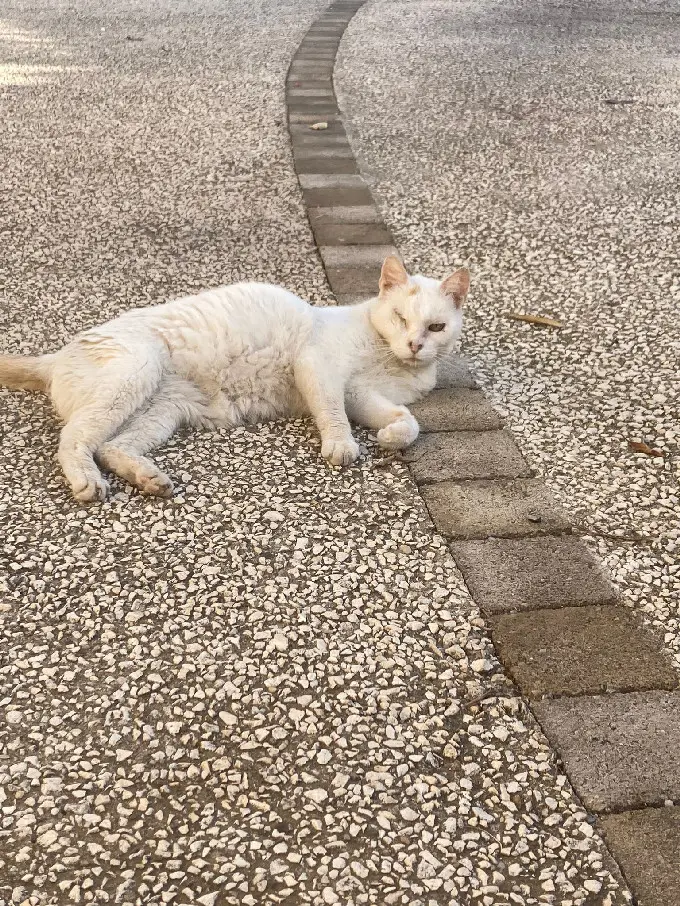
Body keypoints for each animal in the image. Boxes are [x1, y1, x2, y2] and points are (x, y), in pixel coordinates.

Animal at [0, 256, 468, 502]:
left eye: (436, 328)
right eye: (401, 318)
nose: (414, 344)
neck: (387, 356)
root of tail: (56, 356)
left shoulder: (361, 394)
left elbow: (407, 420)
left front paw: (390, 437)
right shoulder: (318, 368)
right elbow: (332, 412)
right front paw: (341, 446)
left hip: (162, 412)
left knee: (111, 446)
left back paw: (147, 478)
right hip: (136, 372)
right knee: (75, 439)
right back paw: (88, 481)